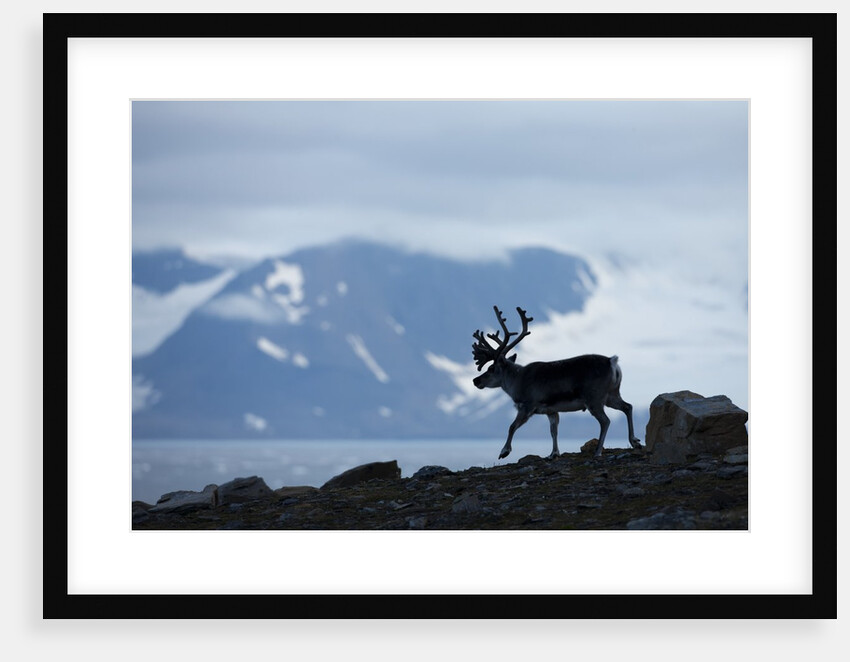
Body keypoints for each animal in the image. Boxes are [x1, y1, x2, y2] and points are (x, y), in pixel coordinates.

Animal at [472, 305, 642, 460]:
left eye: (491, 368)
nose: (475, 380)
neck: (516, 381)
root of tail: (612, 362)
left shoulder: (528, 405)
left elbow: (512, 426)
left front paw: (504, 451)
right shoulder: (551, 410)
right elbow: (553, 431)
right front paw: (553, 453)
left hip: (594, 398)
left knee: (606, 421)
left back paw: (598, 451)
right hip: (611, 395)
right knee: (628, 406)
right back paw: (635, 441)